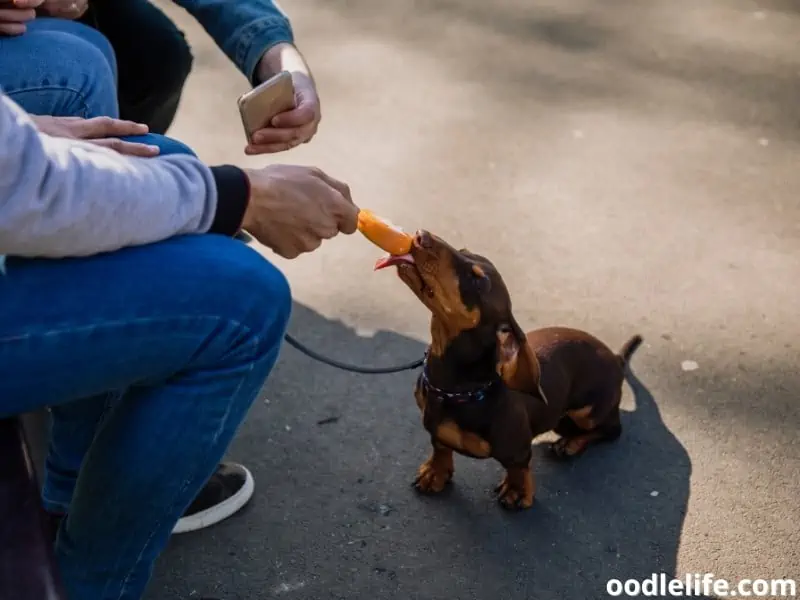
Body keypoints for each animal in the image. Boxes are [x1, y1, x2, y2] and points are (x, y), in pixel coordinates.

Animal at [376, 229, 644, 506]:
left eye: (478, 280)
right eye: (463, 250)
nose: (421, 235)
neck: (455, 389)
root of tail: (615, 358)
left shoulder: (517, 448)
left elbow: (518, 467)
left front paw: (516, 491)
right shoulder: (434, 427)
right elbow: (439, 446)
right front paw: (435, 472)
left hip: (588, 412)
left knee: (611, 430)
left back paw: (570, 444)